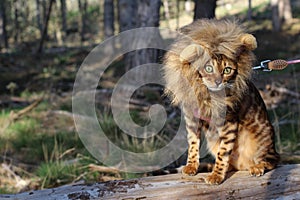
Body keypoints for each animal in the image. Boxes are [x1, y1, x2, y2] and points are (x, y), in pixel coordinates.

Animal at [163, 19, 280, 185]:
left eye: (227, 70)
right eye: (208, 68)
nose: (218, 82)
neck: (206, 95)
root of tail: (243, 165)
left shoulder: (228, 124)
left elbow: (223, 153)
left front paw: (216, 175)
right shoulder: (191, 119)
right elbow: (193, 145)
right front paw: (191, 166)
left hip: (261, 140)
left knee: (273, 159)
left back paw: (257, 166)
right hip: (213, 141)